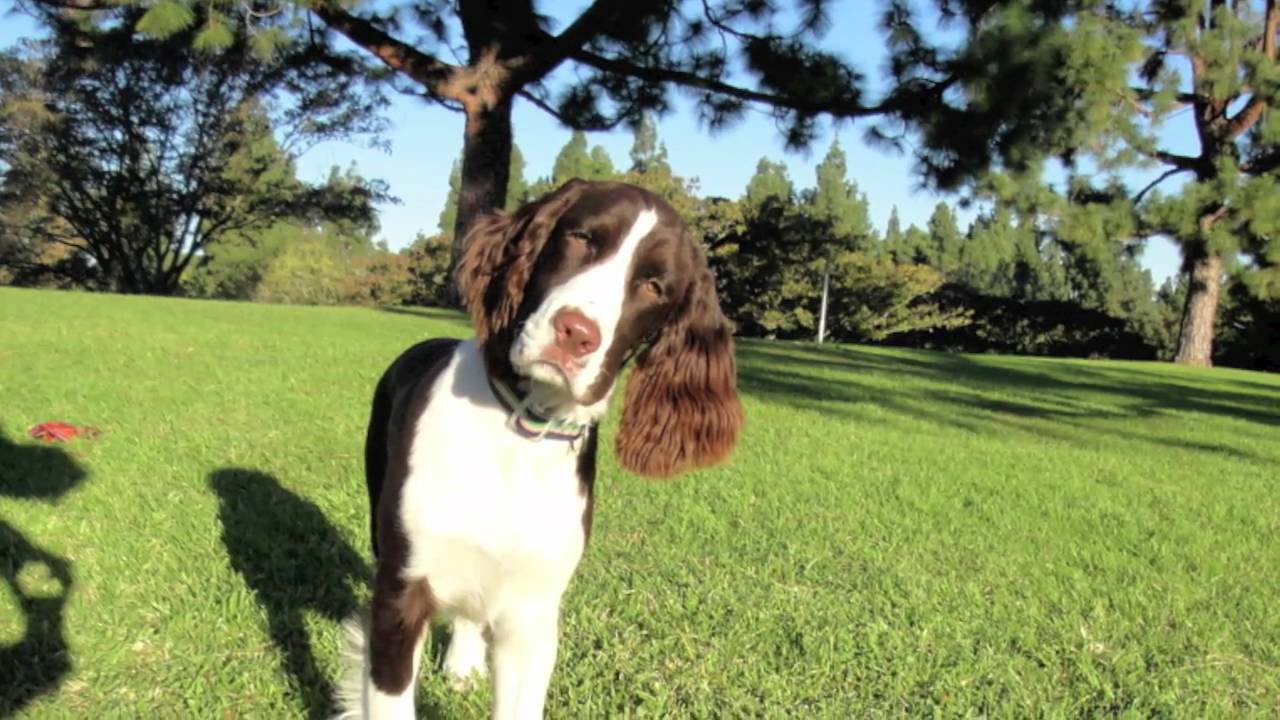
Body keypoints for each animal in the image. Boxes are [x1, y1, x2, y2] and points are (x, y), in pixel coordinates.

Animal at [335, 176, 747, 712]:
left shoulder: (533, 612)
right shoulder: (401, 590)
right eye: (581, 238)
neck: (519, 432)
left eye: (654, 286)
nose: (576, 334)